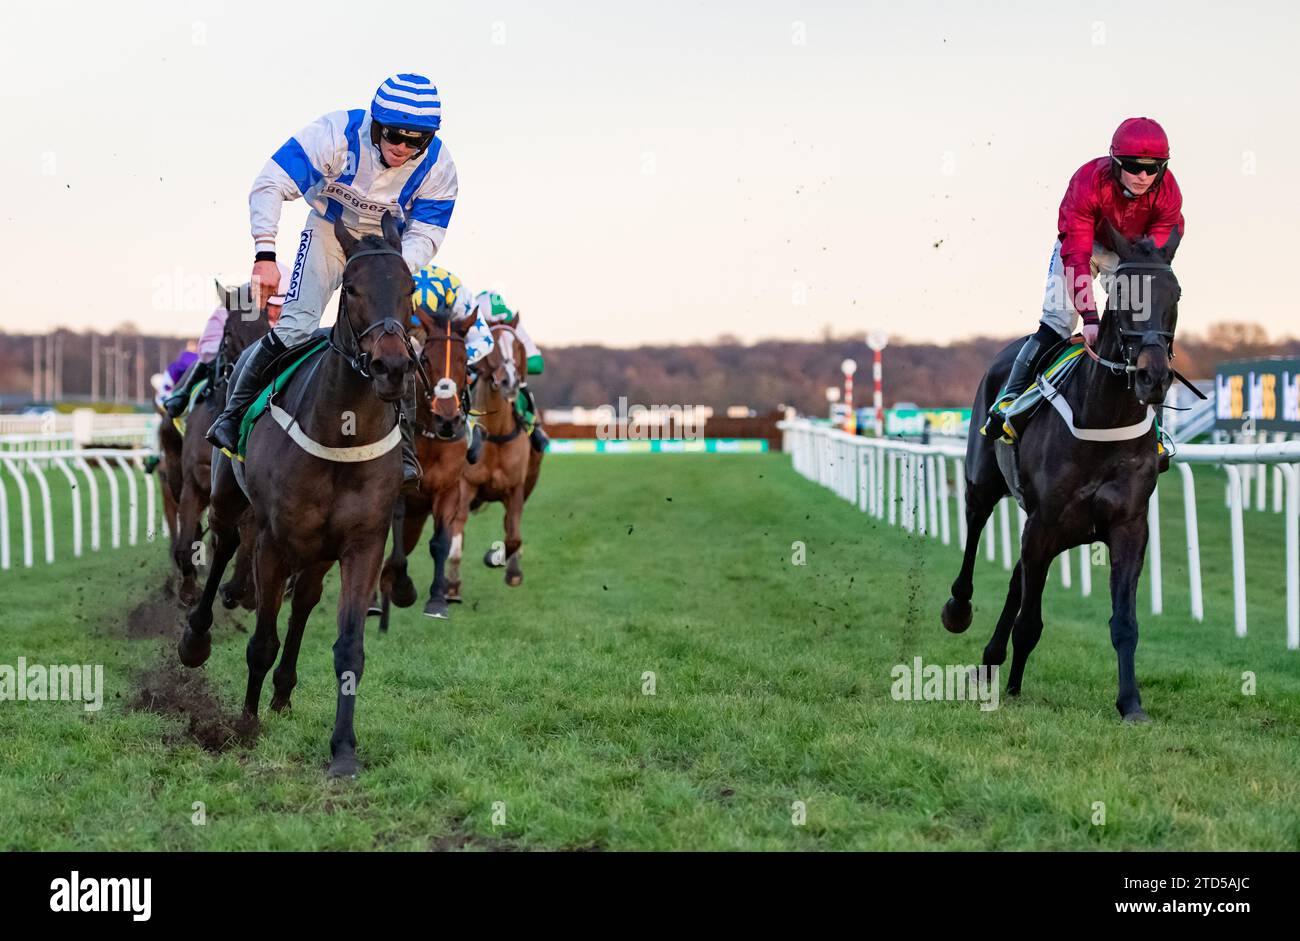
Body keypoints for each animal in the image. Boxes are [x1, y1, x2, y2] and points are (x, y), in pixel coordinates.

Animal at [180, 214, 413, 779]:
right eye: (351, 289)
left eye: (411, 289)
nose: (392, 367)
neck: (341, 432)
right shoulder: (273, 540)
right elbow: (262, 639)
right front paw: (244, 723)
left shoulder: (363, 544)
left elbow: (349, 648)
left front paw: (343, 750)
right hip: (227, 499)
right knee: (222, 546)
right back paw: (196, 640)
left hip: (319, 551)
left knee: (304, 600)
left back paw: (284, 693)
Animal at [377, 305, 473, 621]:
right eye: (427, 359)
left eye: (465, 360)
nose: (447, 419)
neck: (430, 437)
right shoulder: (398, 491)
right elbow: (393, 541)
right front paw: (400, 587)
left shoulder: (448, 489)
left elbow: (440, 543)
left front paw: (437, 600)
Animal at [941, 226, 1185, 722]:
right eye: (1122, 294)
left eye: (1176, 294)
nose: (1153, 377)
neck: (1104, 420)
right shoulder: (1045, 523)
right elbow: (1030, 620)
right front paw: (1014, 683)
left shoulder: (1128, 526)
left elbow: (1124, 622)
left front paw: (1131, 703)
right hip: (985, 481)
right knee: (975, 530)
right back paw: (961, 612)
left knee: (1017, 577)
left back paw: (993, 661)